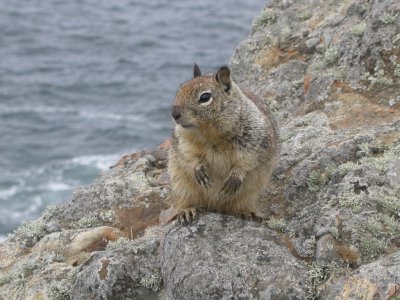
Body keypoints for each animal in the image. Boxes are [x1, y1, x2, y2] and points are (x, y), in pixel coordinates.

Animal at [167, 63, 280, 223]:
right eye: (179, 91)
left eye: (205, 97)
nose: (174, 114)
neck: (210, 134)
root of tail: (215, 207)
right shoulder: (183, 141)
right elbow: (189, 155)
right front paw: (199, 169)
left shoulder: (256, 142)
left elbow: (247, 162)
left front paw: (234, 178)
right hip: (182, 186)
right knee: (186, 200)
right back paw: (187, 211)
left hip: (251, 194)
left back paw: (247, 213)